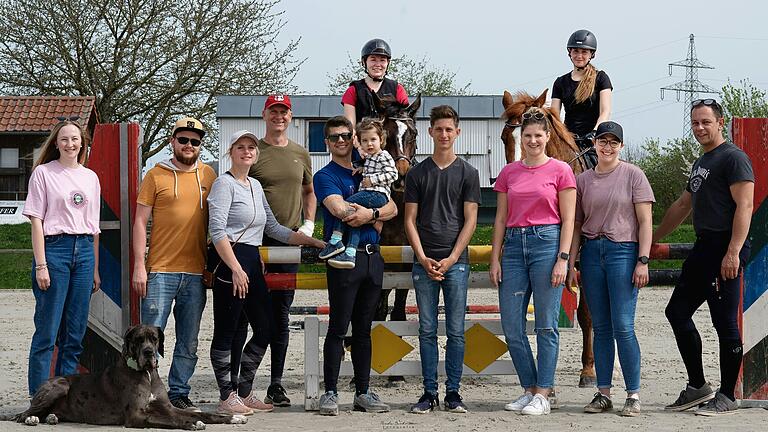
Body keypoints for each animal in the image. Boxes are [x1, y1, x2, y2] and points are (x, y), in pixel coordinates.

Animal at [7, 328, 248, 428]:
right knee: (23, 413)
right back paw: (31, 418)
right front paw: (191, 423)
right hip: (60, 385)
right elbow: (172, 421)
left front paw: (232, 418)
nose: (149, 352)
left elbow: (205, 414)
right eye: (138, 339)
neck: (146, 373)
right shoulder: (136, 415)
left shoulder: (168, 407)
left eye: (154, 338)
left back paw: (51, 417)